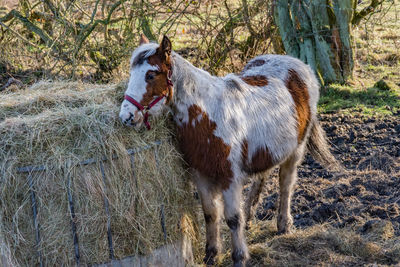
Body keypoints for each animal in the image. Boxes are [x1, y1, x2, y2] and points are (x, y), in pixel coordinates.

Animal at [119, 35, 338, 267]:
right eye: (132, 73)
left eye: (151, 75)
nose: (126, 116)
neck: (208, 115)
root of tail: (299, 66)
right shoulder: (201, 175)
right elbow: (210, 214)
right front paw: (211, 254)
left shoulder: (230, 179)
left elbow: (233, 219)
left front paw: (239, 257)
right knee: (262, 176)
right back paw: (250, 216)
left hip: (295, 150)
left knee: (286, 184)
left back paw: (283, 224)